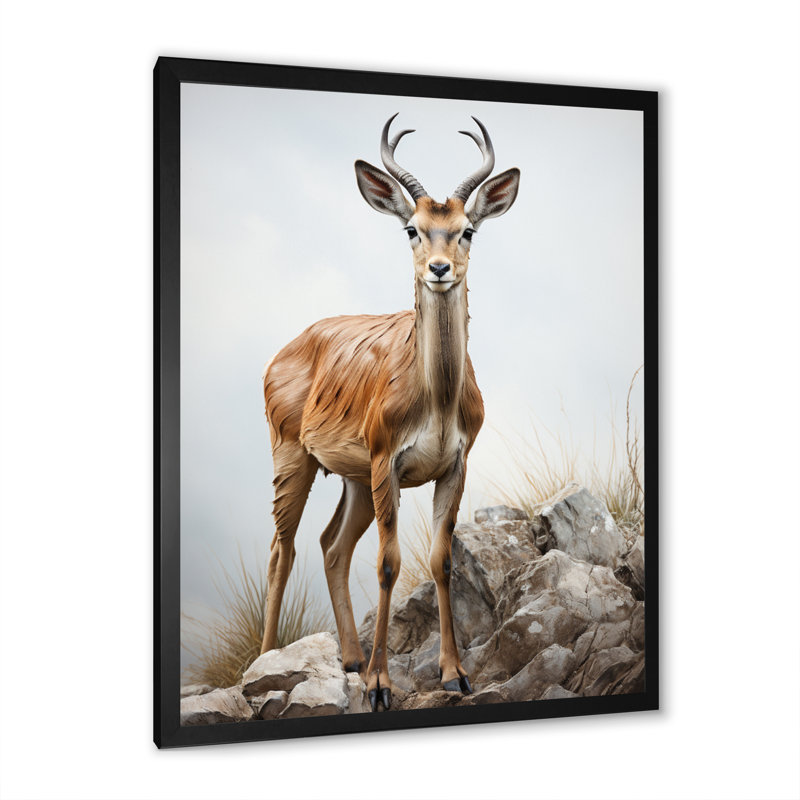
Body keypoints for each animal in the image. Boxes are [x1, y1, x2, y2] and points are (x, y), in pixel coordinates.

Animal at [260, 114, 520, 711]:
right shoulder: (388, 463)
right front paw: (381, 686)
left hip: (353, 479)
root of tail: (287, 349)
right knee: (282, 549)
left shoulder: (452, 467)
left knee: (331, 546)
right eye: (412, 229)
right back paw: (263, 664)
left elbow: (442, 561)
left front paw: (454, 674)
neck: (437, 400)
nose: (440, 269)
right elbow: (387, 564)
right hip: (295, 460)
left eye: (467, 229)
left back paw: (352, 660)